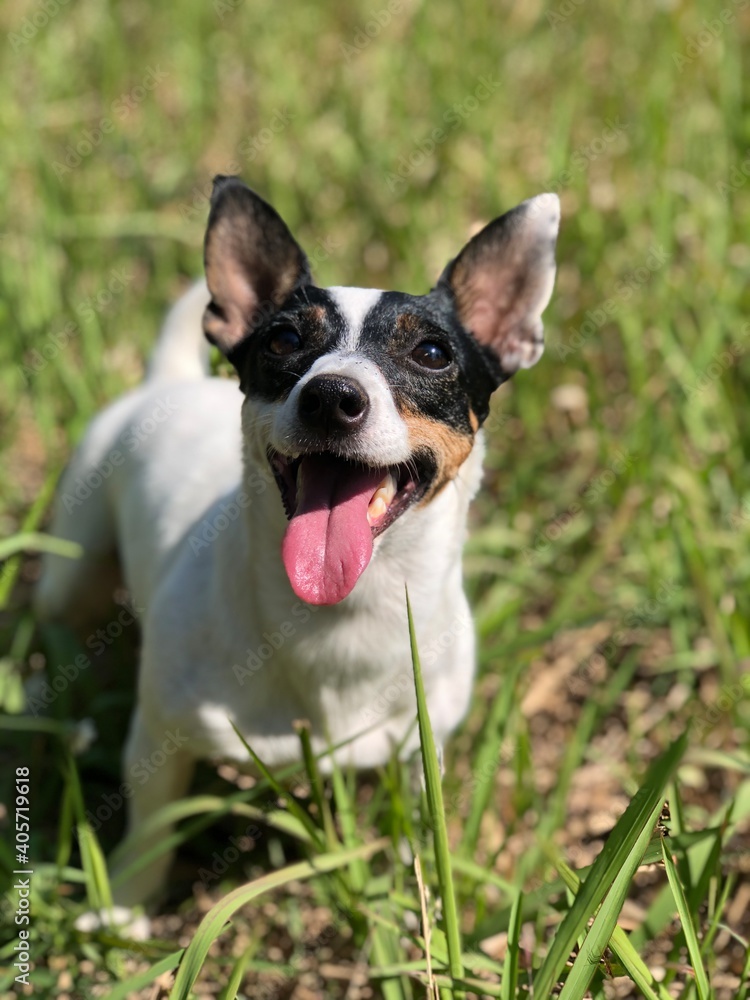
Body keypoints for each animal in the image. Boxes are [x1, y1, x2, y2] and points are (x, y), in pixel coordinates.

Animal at [36, 178, 564, 916]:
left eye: (432, 353)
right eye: (284, 339)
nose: (331, 395)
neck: (340, 618)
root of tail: (168, 381)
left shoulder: (419, 745)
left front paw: (423, 893)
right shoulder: (161, 739)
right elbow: (152, 827)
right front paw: (127, 911)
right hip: (74, 559)